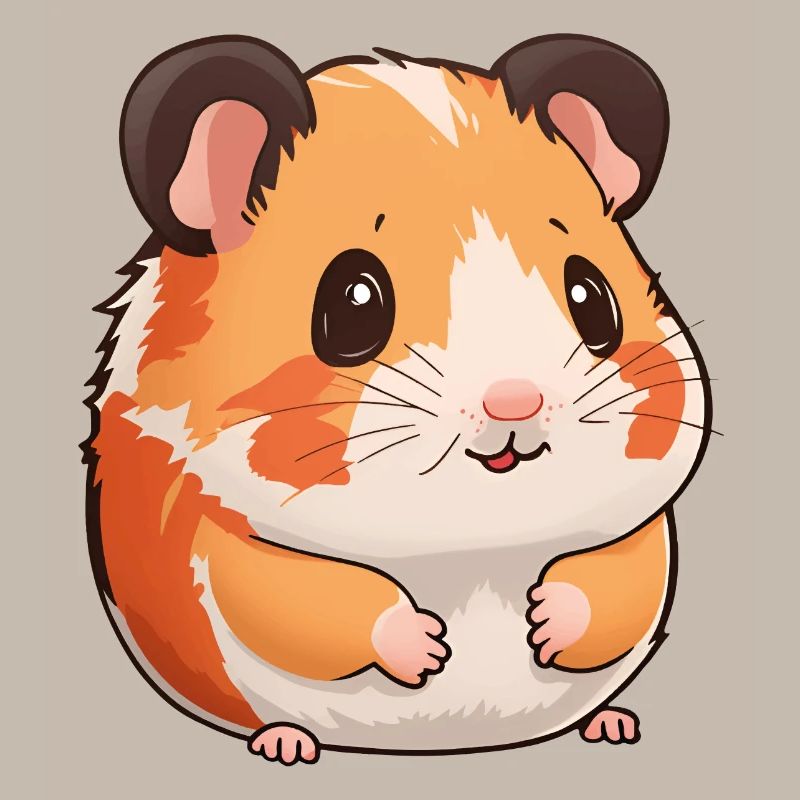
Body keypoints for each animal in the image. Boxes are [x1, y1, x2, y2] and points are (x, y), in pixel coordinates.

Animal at [83, 34, 714, 764]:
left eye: (591, 297)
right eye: (354, 301)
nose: (516, 404)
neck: (476, 544)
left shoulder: (643, 532)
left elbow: (617, 583)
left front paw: (544, 621)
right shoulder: (224, 539)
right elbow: (300, 598)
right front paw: (428, 649)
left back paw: (611, 725)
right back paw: (285, 745)